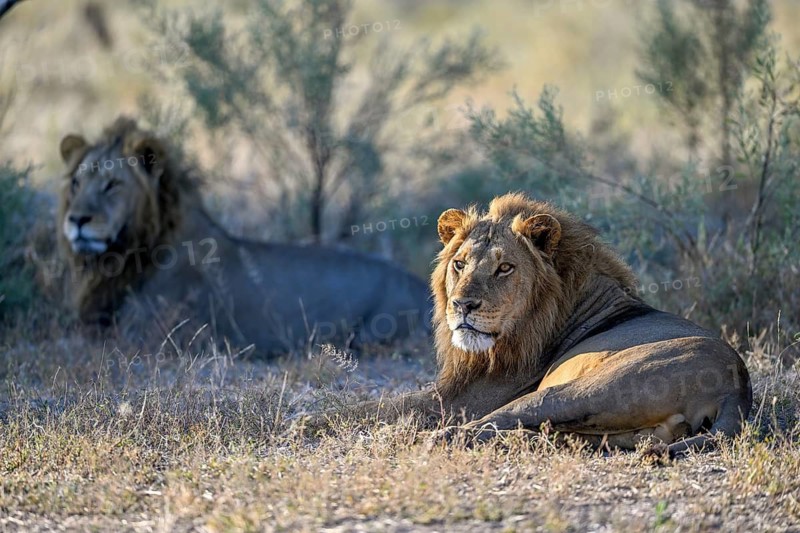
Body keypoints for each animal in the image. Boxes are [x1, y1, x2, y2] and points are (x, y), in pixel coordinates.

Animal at [322, 193, 751, 455]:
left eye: (505, 268)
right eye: (459, 264)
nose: (462, 305)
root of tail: (737, 386)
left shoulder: (465, 398)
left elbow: (373, 406)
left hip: (577, 390)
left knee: (482, 427)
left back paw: (419, 438)